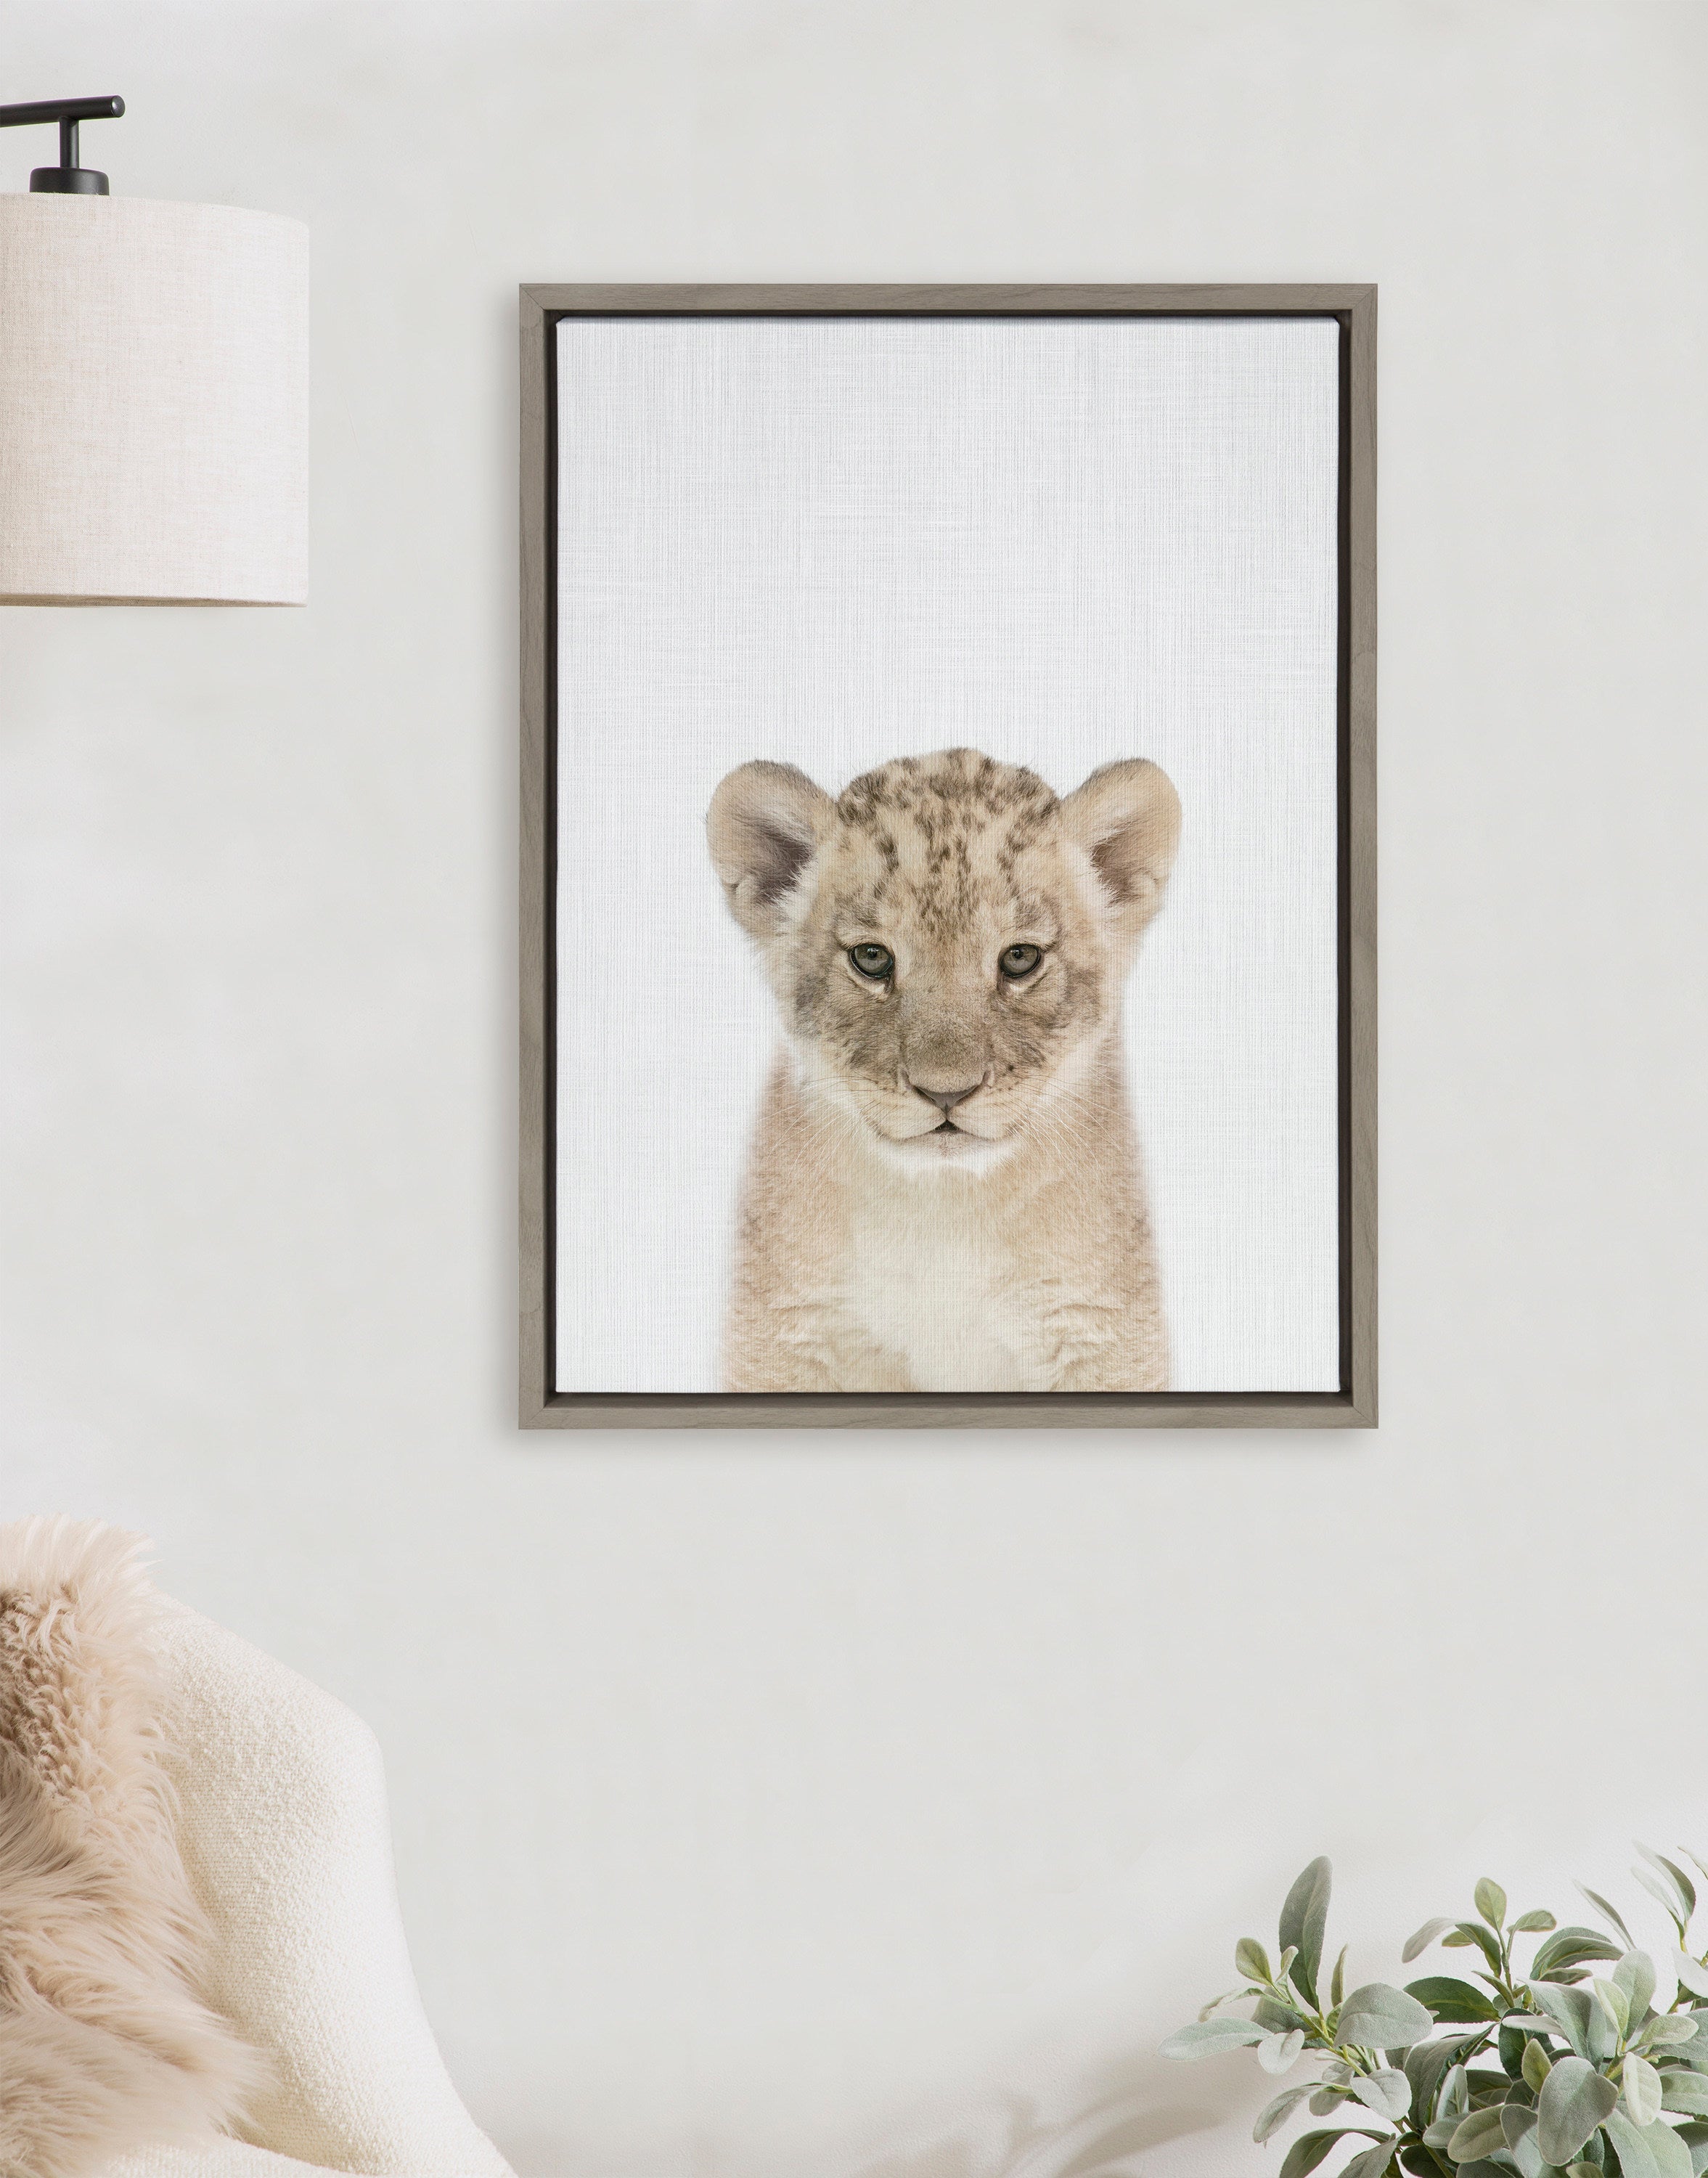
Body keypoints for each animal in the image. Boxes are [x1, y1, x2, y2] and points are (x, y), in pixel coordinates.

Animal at [706, 746, 1182, 1393]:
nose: (946, 1093)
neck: (943, 1208)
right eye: (871, 958)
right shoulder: (784, 1335)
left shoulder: (1100, 1335)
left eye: (1020, 958)